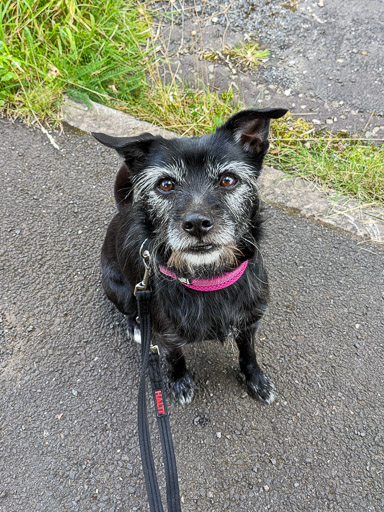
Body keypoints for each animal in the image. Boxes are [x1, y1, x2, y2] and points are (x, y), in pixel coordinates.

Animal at [93, 108, 284, 404]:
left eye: (228, 179)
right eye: (166, 184)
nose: (196, 224)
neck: (209, 278)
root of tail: (122, 210)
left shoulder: (250, 321)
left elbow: (248, 352)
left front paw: (255, 378)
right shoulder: (167, 335)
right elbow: (175, 357)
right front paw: (179, 380)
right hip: (122, 290)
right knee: (129, 308)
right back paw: (135, 327)